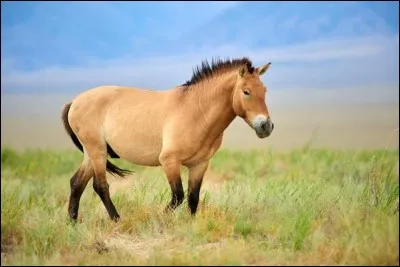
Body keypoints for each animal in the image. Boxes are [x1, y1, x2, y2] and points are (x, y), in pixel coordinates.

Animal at [61, 57, 276, 223]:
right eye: (246, 91)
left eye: (264, 90)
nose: (266, 126)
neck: (196, 111)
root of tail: (74, 101)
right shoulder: (170, 161)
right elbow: (178, 196)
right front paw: (158, 219)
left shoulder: (199, 165)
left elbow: (193, 198)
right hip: (97, 151)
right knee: (100, 186)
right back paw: (116, 220)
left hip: (91, 153)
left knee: (76, 183)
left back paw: (72, 222)